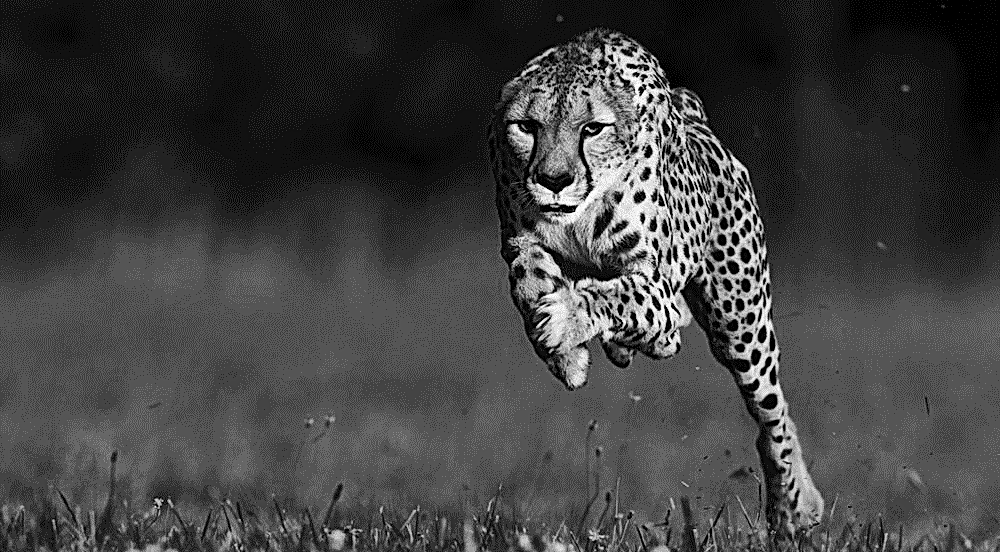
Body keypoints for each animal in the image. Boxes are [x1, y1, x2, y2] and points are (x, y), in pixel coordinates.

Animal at [488, 29, 824, 540]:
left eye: (593, 128)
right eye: (527, 126)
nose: (554, 180)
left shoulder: (655, 284)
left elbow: (621, 293)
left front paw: (567, 318)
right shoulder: (520, 239)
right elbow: (527, 276)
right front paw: (565, 354)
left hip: (741, 326)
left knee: (773, 414)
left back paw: (795, 508)